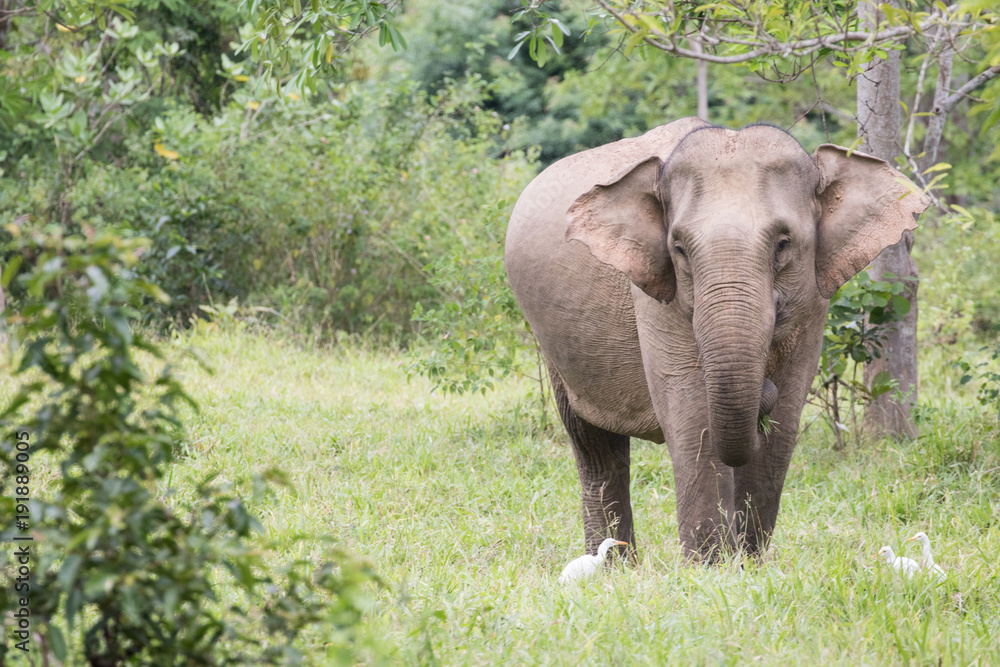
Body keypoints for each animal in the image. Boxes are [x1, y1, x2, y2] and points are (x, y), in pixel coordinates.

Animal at [504, 120, 932, 564]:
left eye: (783, 243)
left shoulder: (814, 298)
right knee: (592, 443)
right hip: (553, 345)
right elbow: (694, 413)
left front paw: (748, 564)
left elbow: (784, 420)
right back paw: (612, 567)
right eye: (678, 248)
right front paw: (709, 567)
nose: (763, 390)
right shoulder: (657, 294)